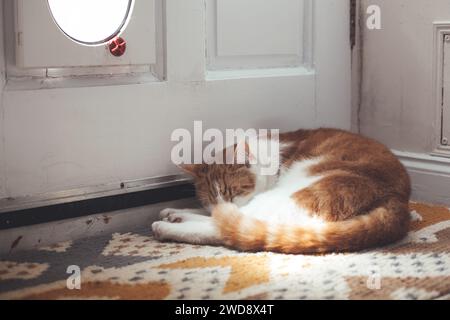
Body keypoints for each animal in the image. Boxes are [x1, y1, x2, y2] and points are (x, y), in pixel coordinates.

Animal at [152, 129, 412, 254]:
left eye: (232, 192)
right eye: (210, 199)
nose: (223, 205)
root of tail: (397, 200)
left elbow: (224, 218)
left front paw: (175, 216)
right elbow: (210, 213)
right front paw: (178, 210)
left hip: (298, 190)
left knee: (228, 228)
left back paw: (166, 227)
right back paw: (174, 215)